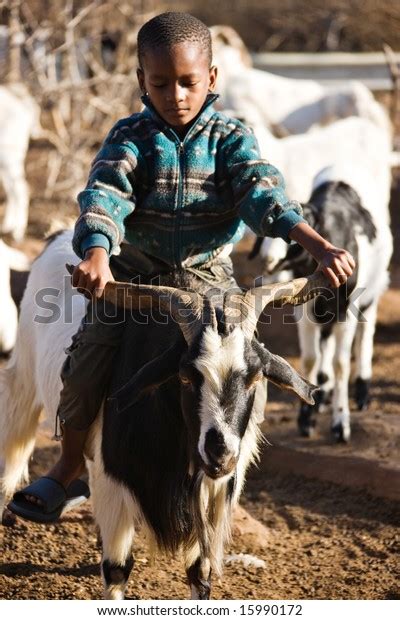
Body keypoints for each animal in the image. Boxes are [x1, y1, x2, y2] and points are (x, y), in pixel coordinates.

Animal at [0, 230, 324, 600]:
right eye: (185, 376)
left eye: (255, 378)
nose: (219, 454)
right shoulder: (111, 479)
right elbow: (117, 569)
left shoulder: (209, 494)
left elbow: (200, 572)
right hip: (26, 371)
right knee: (18, 426)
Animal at [252, 166, 392, 440]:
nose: (267, 260)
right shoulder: (304, 310)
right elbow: (310, 358)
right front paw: (306, 418)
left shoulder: (346, 311)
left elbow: (341, 364)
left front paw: (341, 423)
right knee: (325, 343)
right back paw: (324, 391)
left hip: (374, 290)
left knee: (365, 335)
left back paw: (362, 391)